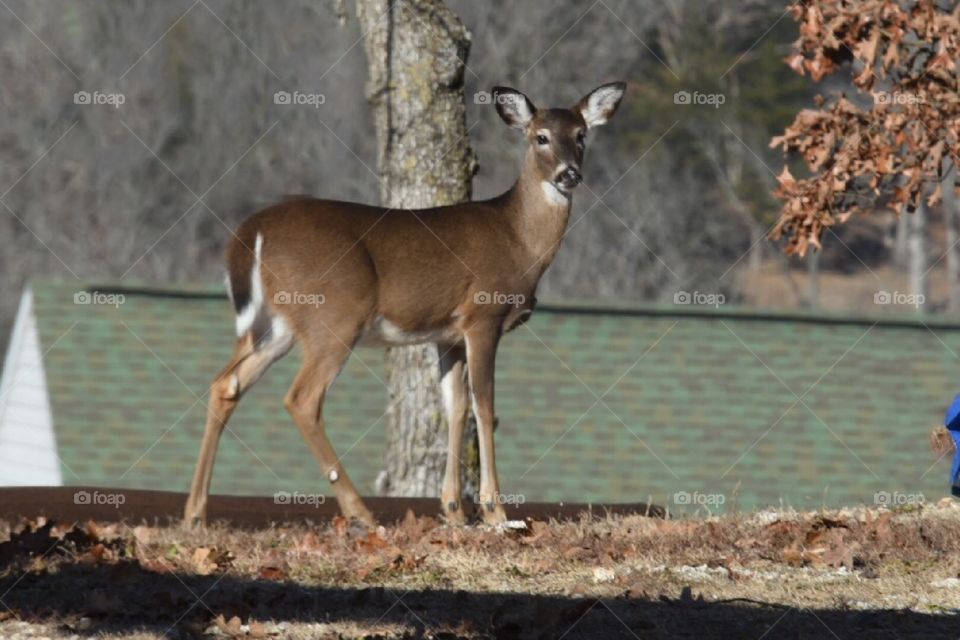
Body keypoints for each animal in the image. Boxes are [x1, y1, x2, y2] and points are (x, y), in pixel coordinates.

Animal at [184, 81, 626, 528]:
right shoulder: (483, 317)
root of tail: (251, 232)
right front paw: (495, 511)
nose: (569, 174)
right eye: (540, 137)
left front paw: (453, 510)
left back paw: (195, 513)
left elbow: (455, 407)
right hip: (334, 316)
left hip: (275, 326)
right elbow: (484, 407)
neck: (518, 240)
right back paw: (360, 512)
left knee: (226, 384)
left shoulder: (448, 334)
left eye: (581, 135)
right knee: (302, 399)